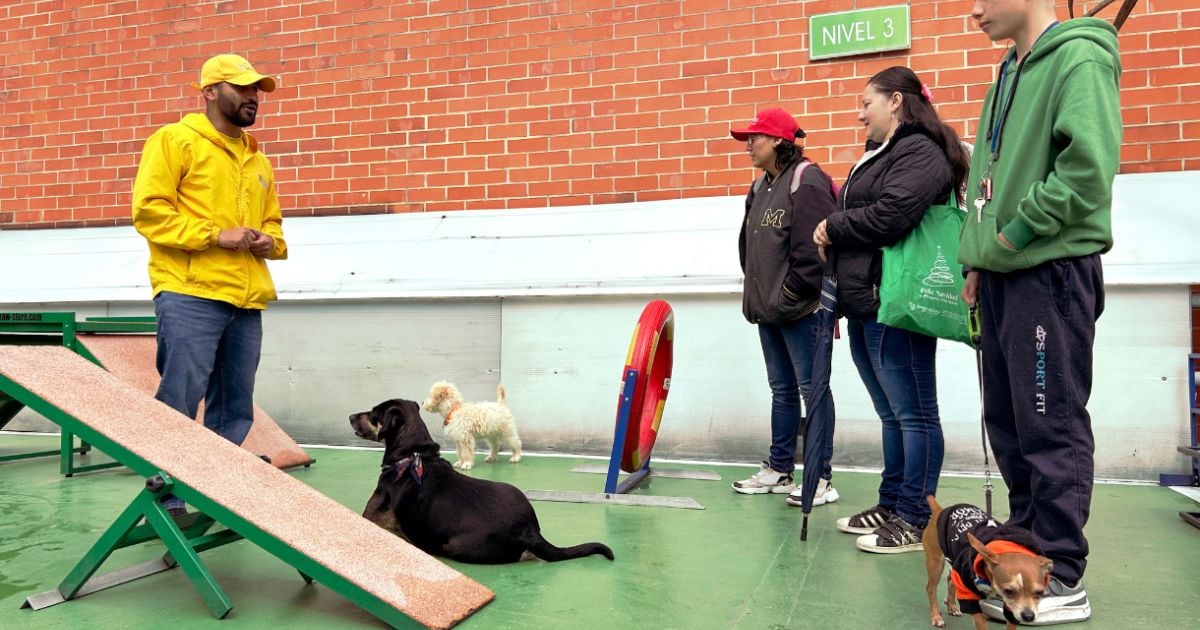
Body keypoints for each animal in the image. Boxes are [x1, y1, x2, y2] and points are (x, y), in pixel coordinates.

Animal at [345, 396, 609, 561]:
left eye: (373, 413)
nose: (350, 416)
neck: (412, 455)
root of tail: (530, 530)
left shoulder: (371, 518)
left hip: (454, 545)